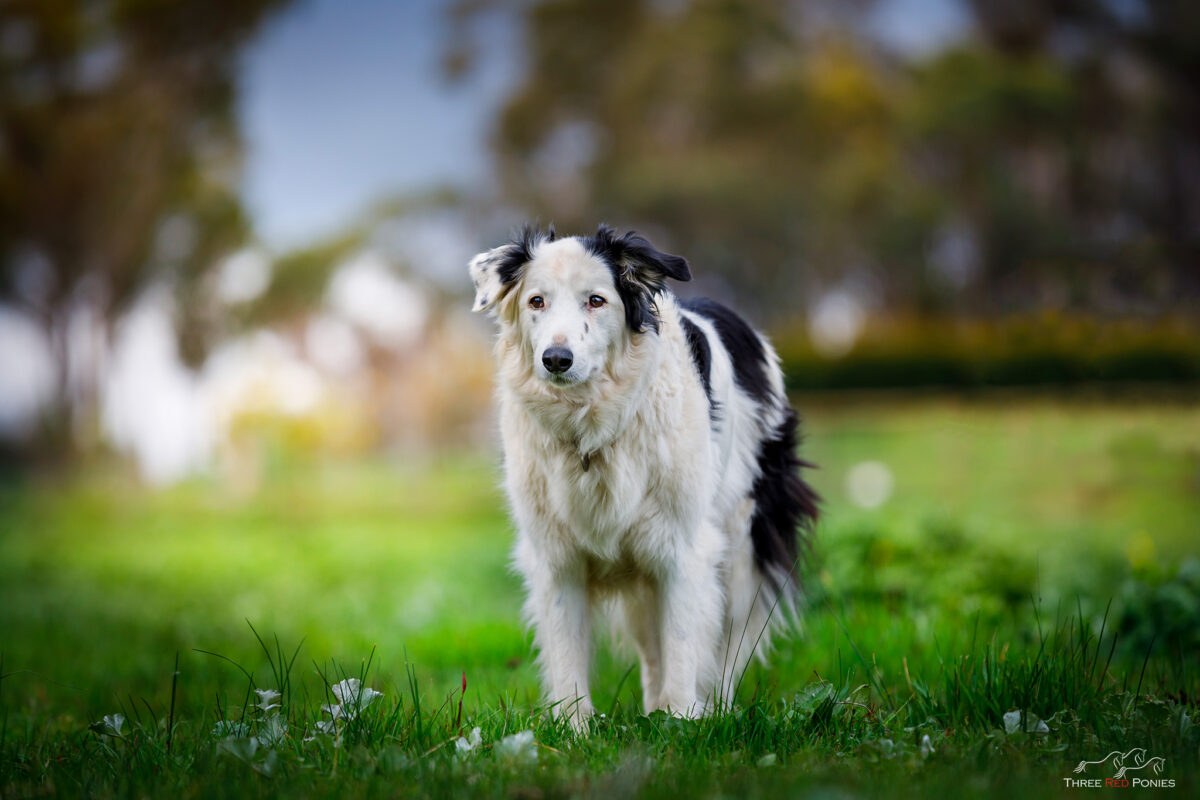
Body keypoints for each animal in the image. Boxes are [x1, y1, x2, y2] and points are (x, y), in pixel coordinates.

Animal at [468, 224, 816, 724]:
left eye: (596, 300)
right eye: (536, 301)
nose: (556, 358)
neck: (591, 424)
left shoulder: (683, 547)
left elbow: (684, 643)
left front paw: (684, 721)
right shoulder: (557, 556)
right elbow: (568, 652)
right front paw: (574, 729)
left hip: (746, 540)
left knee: (731, 640)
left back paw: (716, 710)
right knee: (652, 646)